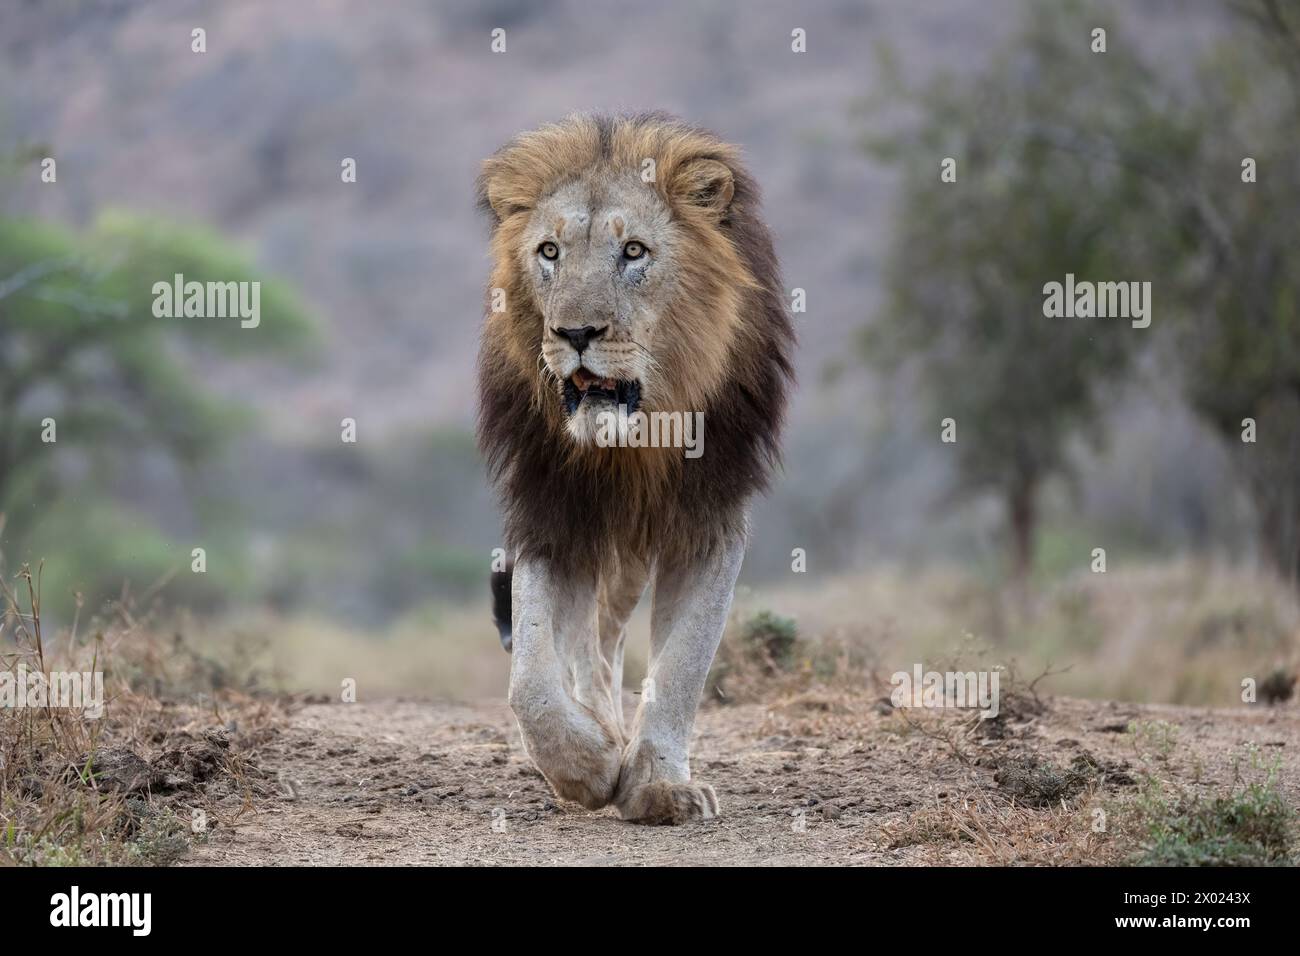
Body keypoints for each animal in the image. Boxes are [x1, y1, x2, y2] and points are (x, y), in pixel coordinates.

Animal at [473, 111, 785, 822]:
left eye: (635, 252)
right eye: (549, 252)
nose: (575, 333)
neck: (633, 444)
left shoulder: (710, 518)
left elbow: (683, 666)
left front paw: (661, 786)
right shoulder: (550, 510)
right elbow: (532, 678)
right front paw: (586, 765)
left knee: (609, 638)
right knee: (587, 646)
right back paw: (600, 732)